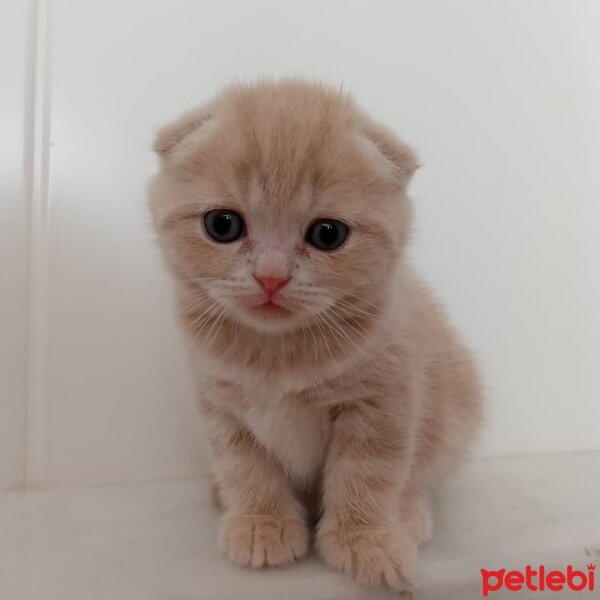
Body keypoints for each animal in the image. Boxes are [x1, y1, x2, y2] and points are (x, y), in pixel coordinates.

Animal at [150, 79, 482, 592]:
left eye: (328, 234)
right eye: (222, 225)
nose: (271, 276)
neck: (275, 356)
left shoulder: (381, 405)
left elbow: (368, 476)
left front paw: (366, 541)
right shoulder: (224, 409)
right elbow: (247, 470)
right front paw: (260, 524)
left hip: (456, 410)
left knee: (419, 474)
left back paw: (409, 513)